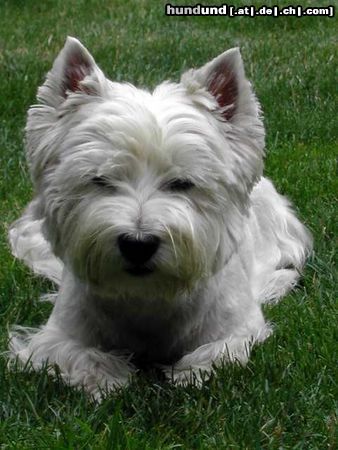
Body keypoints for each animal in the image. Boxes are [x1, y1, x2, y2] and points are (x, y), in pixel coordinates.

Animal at [8, 37, 312, 398]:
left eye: (182, 183)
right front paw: (108, 380)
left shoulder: (238, 328)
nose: (138, 244)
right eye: (101, 180)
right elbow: (79, 355)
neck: (148, 298)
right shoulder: (58, 334)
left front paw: (189, 374)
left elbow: (218, 352)